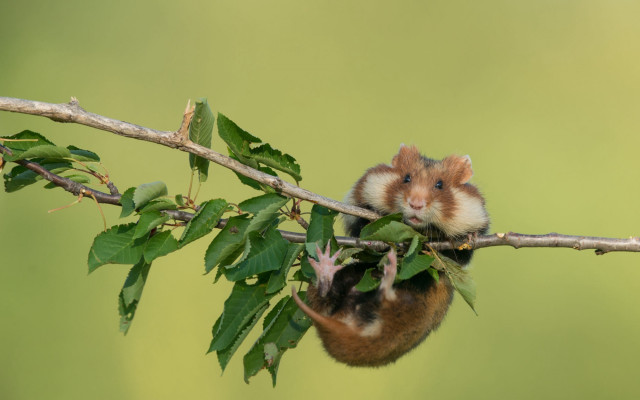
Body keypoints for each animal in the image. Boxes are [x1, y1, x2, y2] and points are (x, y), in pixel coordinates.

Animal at [292, 145, 489, 367]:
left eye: (440, 185)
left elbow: (461, 251)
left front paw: (470, 237)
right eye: (406, 178)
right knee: (330, 293)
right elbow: (362, 230)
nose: (415, 204)